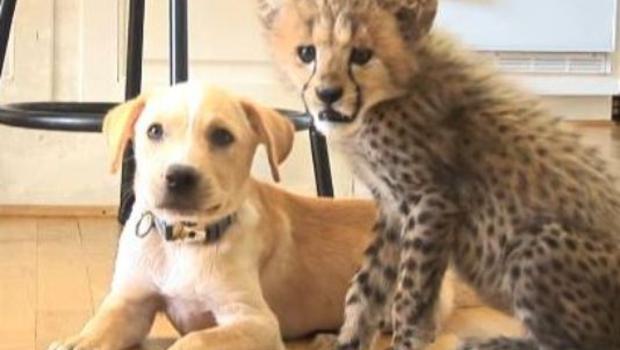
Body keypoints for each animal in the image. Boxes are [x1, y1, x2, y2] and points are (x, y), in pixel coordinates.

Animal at [48, 84, 456, 350]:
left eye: (222, 136)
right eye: (154, 131)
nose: (179, 176)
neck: (185, 241)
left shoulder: (254, 320)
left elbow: (195, 341)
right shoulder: (130, 302)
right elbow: (99, 327)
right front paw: (76, 341)